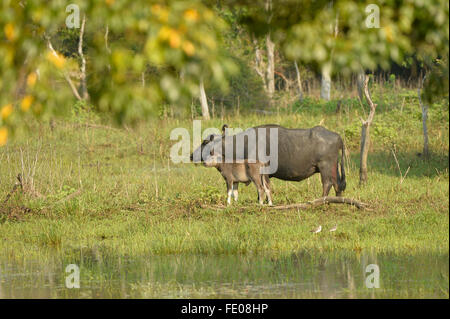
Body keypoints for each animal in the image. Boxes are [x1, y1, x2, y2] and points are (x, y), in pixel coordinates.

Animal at [192, 125, 346, 198]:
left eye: (205, 142)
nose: (191, 156)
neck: (244, 143)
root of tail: (338, 137)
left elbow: (262, 189)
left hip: (325, 167)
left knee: (328, 184)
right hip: (334, 167)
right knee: (338, 185)